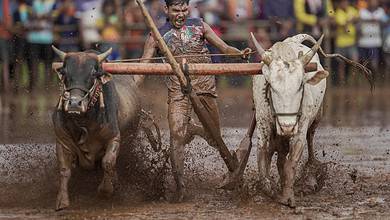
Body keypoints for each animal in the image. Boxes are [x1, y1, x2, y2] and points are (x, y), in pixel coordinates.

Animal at [51, 47, 142, 211]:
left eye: (93, 73)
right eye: (65, 72)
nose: (74, 104)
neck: (84, 121)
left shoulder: (114, 137)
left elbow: (108, 162)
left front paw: (105, 191)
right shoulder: (62, 140)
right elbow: (64, 170)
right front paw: (62, 201)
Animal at [250, 33, 330, 207]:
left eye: (300, 86)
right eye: (272, 87)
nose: (287, 127)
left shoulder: (299, 131)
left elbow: (291, 163)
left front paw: (287, 196)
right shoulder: (263, 126)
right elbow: (263, 155)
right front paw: (268, 188)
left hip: (316, 117)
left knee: (310, 138)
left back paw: (310, 178)